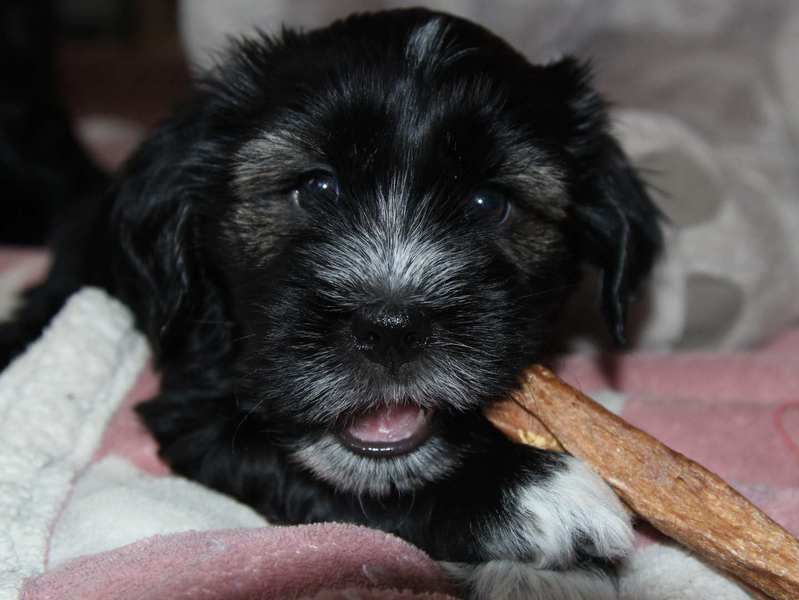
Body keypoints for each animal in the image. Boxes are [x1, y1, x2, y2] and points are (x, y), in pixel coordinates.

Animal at [0, 9, 662, 599]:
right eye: (316, 188)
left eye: (487, 204)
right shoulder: (193, 410)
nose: (392, 328)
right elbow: (326, 478)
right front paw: (527, 496)